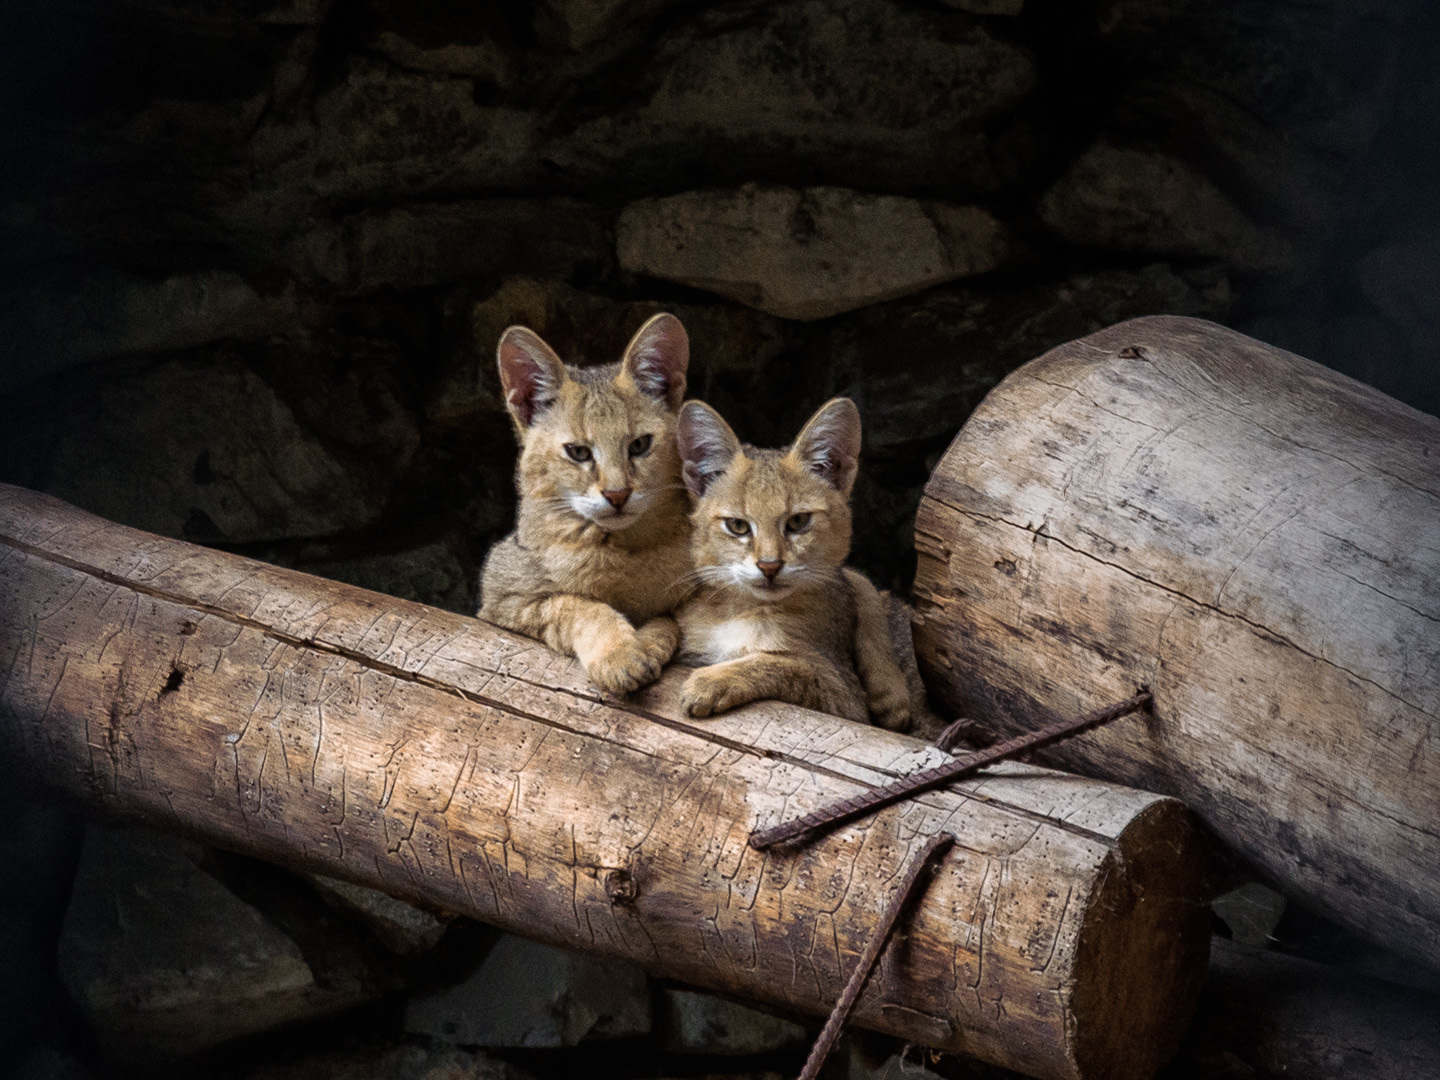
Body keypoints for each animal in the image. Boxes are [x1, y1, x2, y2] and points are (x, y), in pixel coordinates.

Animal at [478, 316, 691, 696]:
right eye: (578, 452)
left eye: (639, 445)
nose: (617, 494)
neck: (620, 552)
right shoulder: (502, 598)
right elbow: (579, 606)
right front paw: (619, 653)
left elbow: (667, 622)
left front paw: (646, 645)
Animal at [671, 394, 910, 731]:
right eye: (738, 526)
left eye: (798, 522)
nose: (770, 566)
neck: (747, 611)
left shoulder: (844, 695)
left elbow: (786, 664)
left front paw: (713, 681)